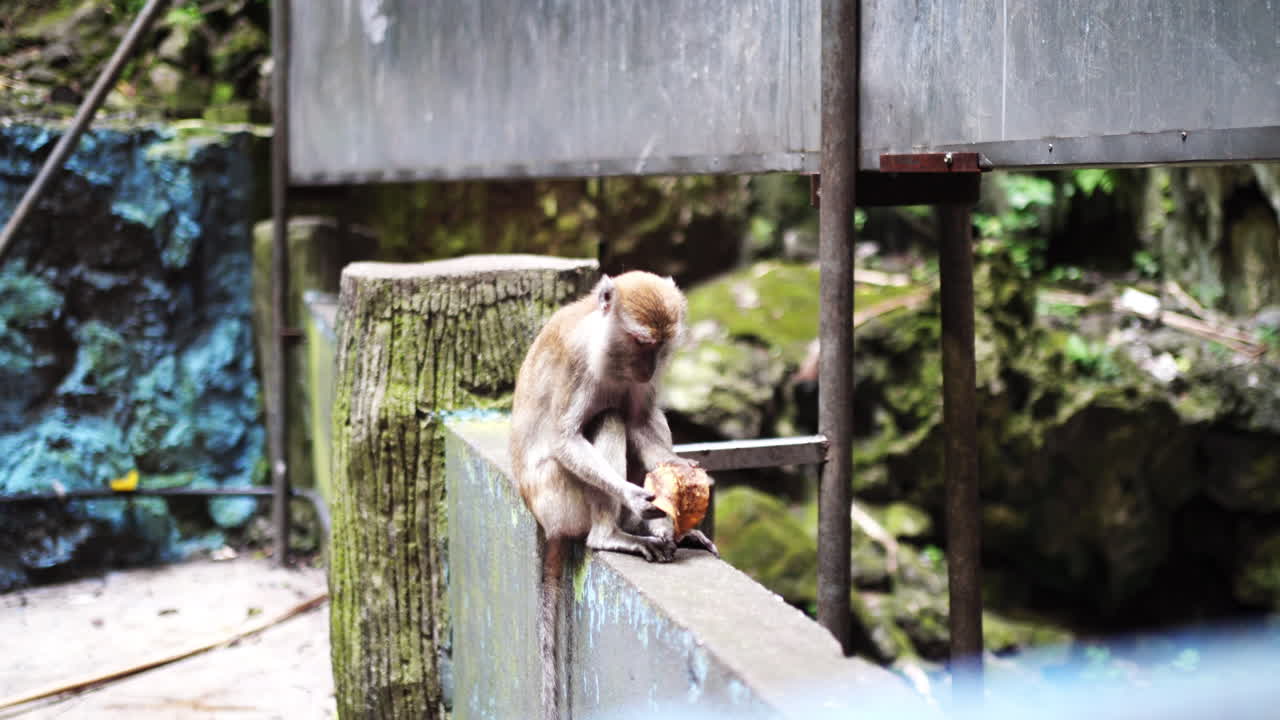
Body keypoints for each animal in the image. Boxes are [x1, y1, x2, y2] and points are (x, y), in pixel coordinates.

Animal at [510, 270, 717, 719]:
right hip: (562, 500)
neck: (603, 344)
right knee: (608, 417)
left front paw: (681, 479)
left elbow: (642, 418)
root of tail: (548, 523)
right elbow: (566, 437)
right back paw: (613, 534)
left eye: (660, 346)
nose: (649, 367)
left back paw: (656, 527)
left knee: (630, 415)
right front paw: (634, 496)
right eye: (641, 341)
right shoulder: (575, 361)